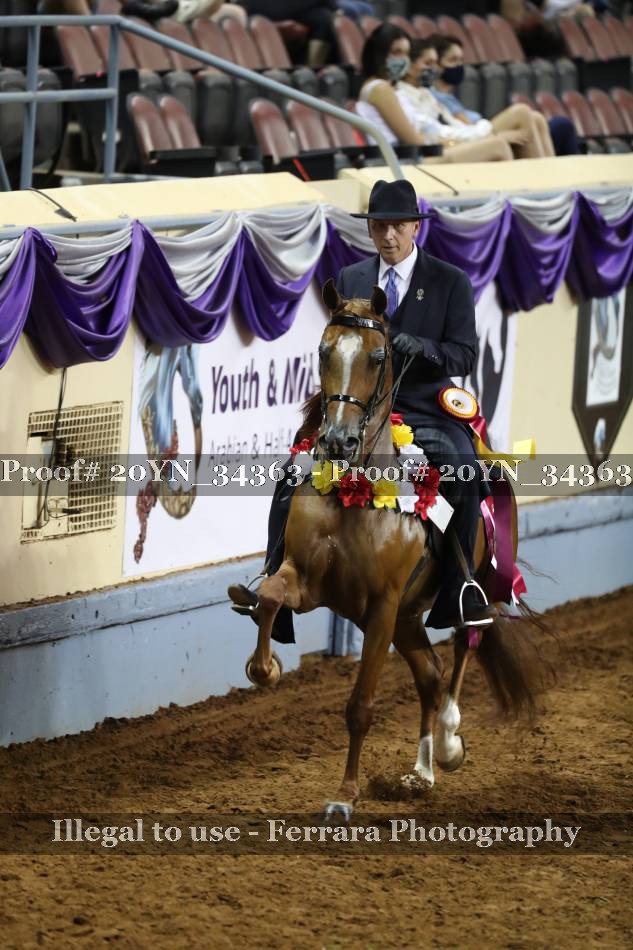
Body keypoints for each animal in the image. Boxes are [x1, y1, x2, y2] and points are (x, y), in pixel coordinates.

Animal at [243, 279, 548, 822]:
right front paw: (266, 668)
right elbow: (275, 596)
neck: (354, 494)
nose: (337, 441)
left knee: (466, 642)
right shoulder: (310, 581)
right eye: (323, 350)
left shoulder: (381, 608)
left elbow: (360, 706)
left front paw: (344, 797)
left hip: (465, 589)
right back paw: (420, 773)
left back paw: (448, 741)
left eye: (379, 354)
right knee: (430, 674)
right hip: (408, 617)